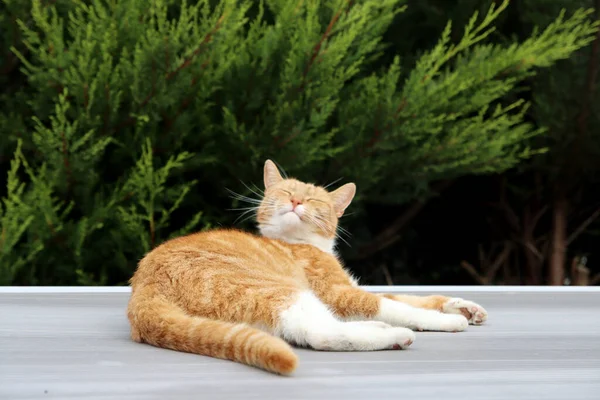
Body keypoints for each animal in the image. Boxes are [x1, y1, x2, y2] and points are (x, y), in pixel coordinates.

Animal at [126, 159, 488, 376]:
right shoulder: (340, 293)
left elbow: (412, 299)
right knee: (318, 333)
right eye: (286, 191)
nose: (296, 201)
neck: (300, 243)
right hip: (279, 292)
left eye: (313, 200)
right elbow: (399, 307)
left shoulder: (350, 289)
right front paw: (449, 320)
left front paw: (463, 306)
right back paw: (394, 335)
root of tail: (143, 290)